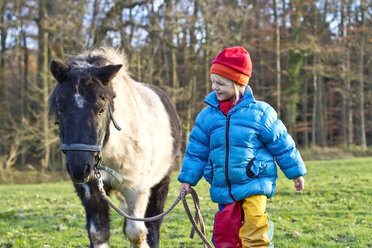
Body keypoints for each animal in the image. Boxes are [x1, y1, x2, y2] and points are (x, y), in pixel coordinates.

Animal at [48, 47, 182, 247]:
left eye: (101, 109)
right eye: (61, 108)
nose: (79, 167)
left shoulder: (137, 190)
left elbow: (136, 233)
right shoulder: (91, 191)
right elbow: (98, 233)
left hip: (161, 183)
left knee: (153, 226)